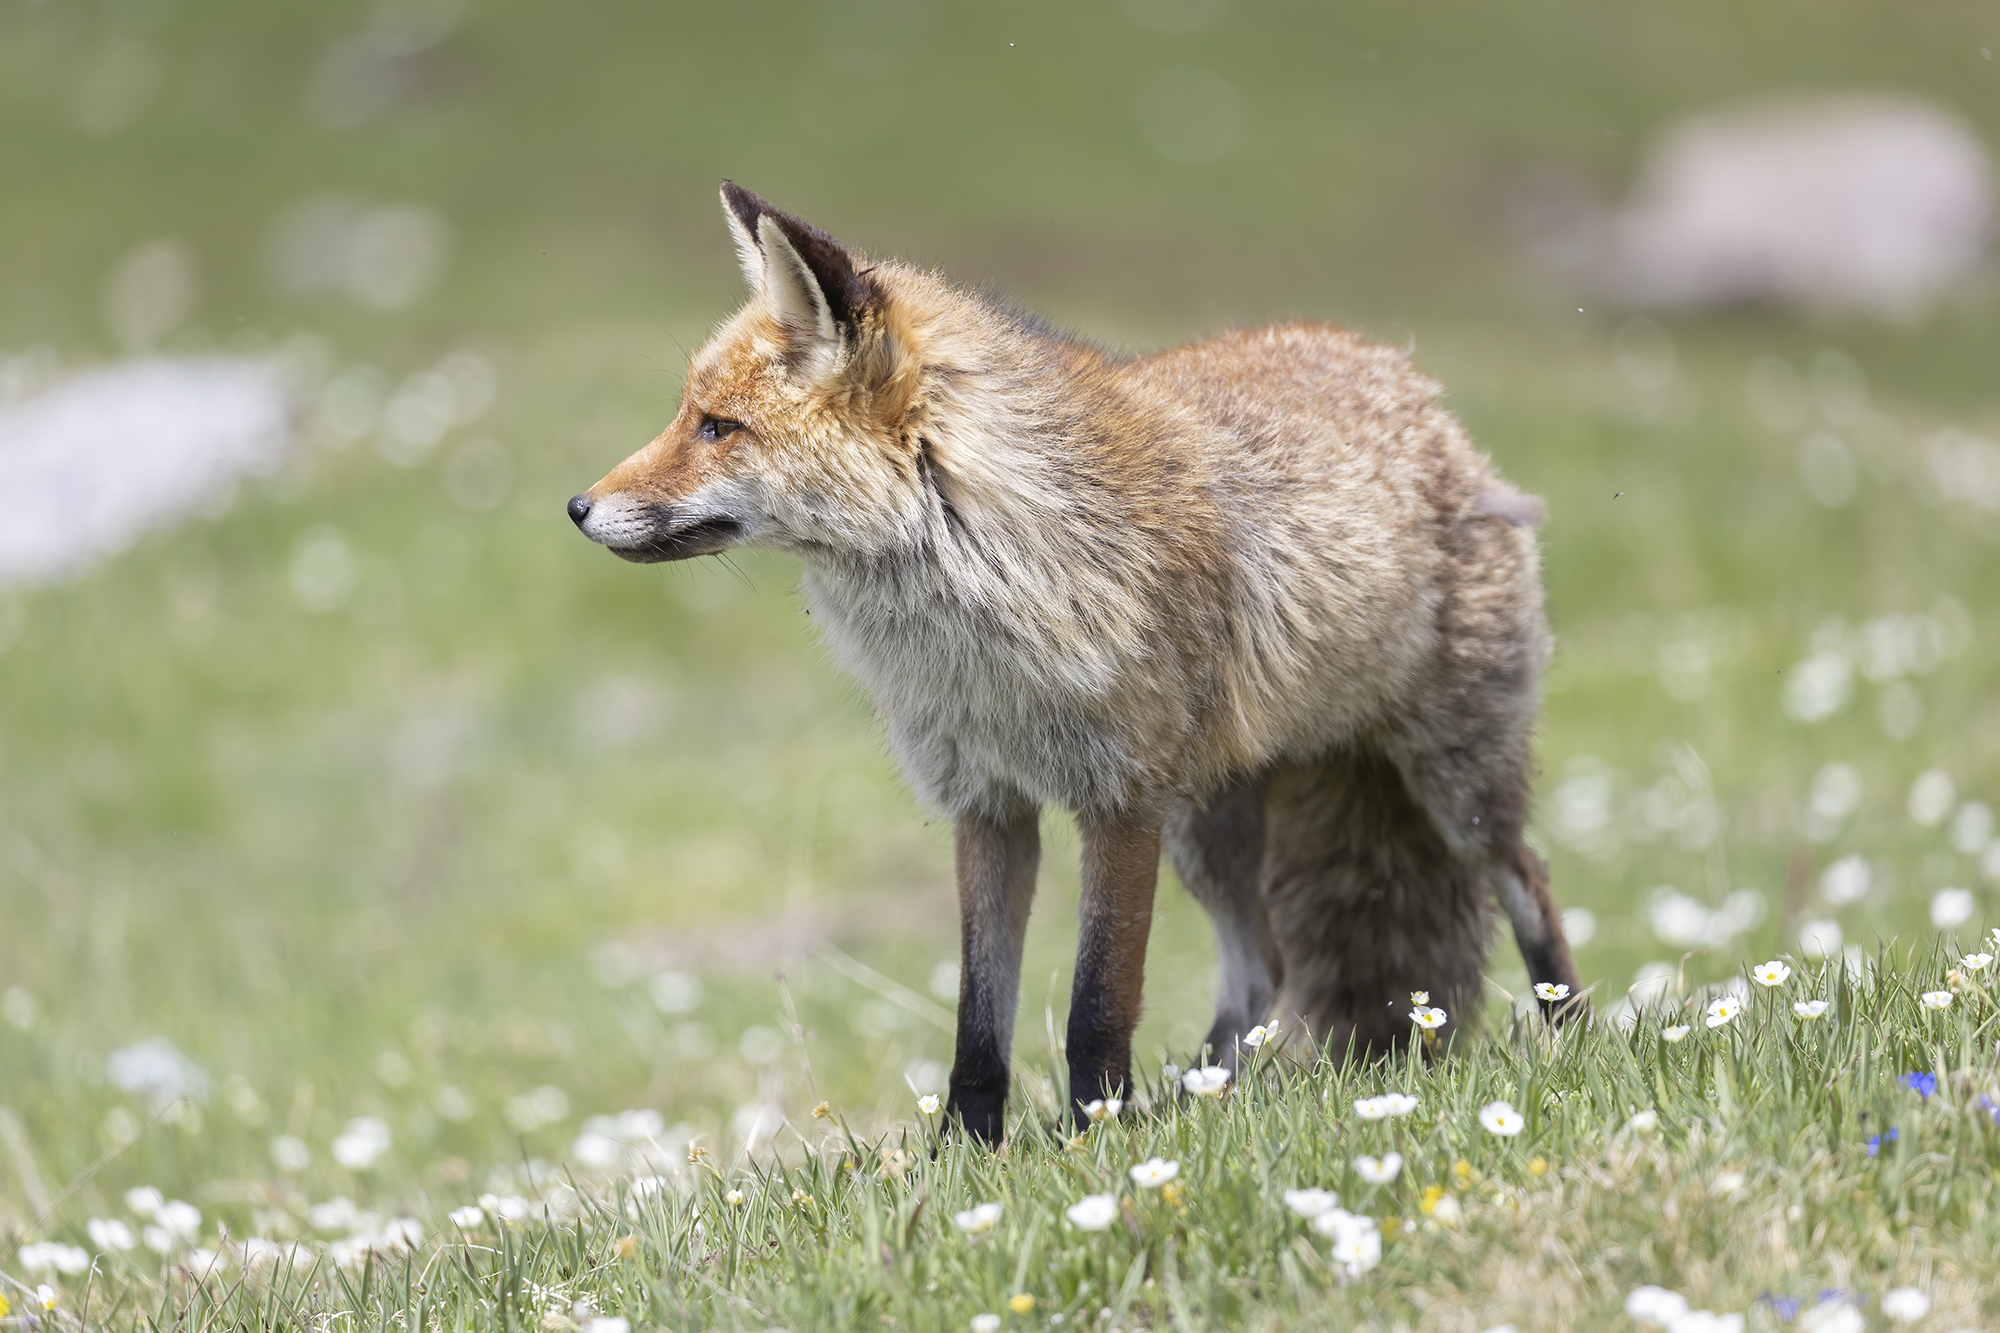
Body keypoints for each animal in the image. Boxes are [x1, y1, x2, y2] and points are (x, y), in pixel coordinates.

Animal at [569, 183, 1584, 1144]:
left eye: (717, 427)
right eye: (690, 416)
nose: (576, 507)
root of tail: (1406, 376)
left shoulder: (1122, 797)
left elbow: (1097, 1003)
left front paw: (1093, 1135)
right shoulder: (986, 803)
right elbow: (980, 1019)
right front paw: (967, 1153)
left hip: (1453, 787)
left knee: (1529, 881)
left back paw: (1575, 1038)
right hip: (1210, 831)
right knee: (1262, 965)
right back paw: (1200, 1098)